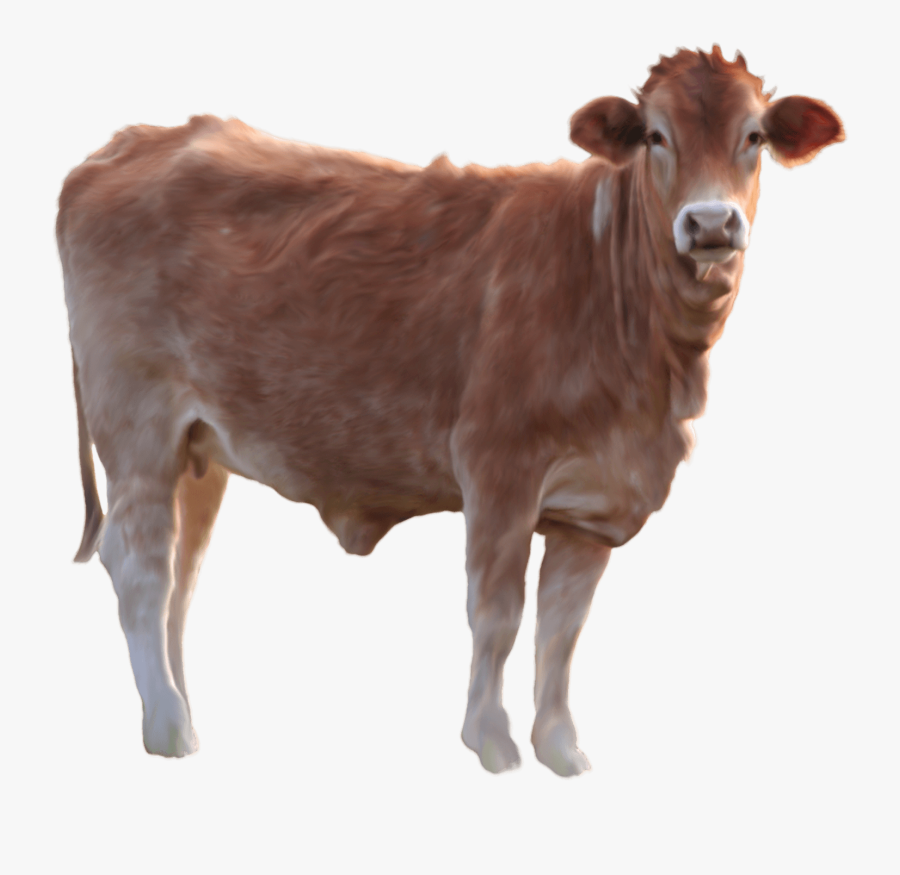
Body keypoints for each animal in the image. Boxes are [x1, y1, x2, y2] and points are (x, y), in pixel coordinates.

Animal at [58, 46, 843, 775]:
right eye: (656, 135)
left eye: (754, 135)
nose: (710, 223)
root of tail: (127, 143)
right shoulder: (498, 466)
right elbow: (498, 614)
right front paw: (492, 740)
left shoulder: (594, 504)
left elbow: (562, 629)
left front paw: (561, 747)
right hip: (138, 426)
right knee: (140, 567)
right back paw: (167, 726)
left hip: (199, 449)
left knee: (180, 577)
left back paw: (181, 714)